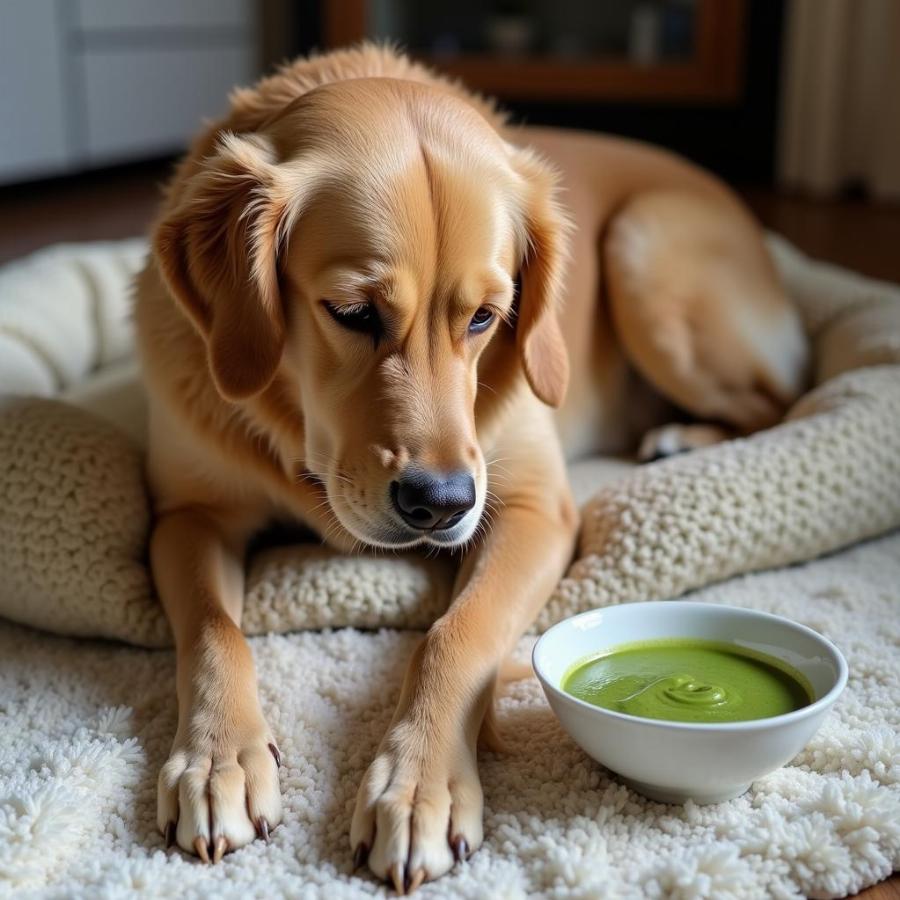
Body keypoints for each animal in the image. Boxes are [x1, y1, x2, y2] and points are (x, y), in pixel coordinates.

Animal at [135, 44, 808, 892]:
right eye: (352, 313)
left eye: (487, 317)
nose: (442, 503)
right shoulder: (189, 516)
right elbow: (215, 629)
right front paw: (217, 758)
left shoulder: (530, 508)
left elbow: (454, 633)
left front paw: (420, 784)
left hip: (645, 253)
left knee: (781, 402)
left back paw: (683, 436)